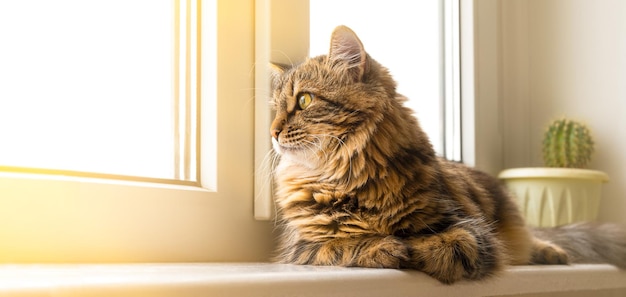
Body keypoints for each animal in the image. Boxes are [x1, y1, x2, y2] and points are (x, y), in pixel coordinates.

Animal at [268, 24, 624, 282]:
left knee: (528, 241)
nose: (272, 131)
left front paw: (408, 247)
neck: (347, 179)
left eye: (304, 101)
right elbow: (339, 245)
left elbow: (449, 245)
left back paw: (552, 252)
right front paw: (386, 247)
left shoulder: (473, 230)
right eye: (274, 108)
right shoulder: (299, 246)